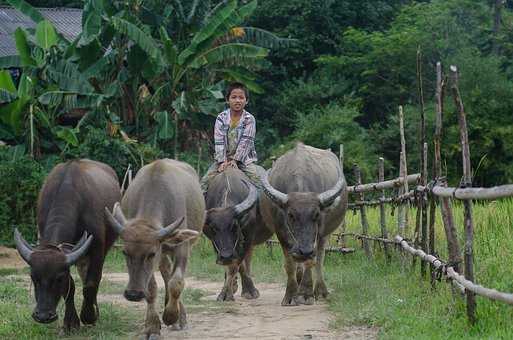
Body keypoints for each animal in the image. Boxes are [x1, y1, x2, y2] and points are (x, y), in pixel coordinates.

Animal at [14, 159, 120, 332]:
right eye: (33, 277)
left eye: (58, 278)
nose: (43, 316)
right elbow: (71, 286)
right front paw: (71, 323)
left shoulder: (97, 249)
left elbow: (91, 284)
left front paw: (88, 317)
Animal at [105, 159, 203, 340]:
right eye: (125, 253)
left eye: (151, 253)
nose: (133, 294)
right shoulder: (159, 254)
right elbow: (151, 288)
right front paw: (152, 326)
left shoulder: (181, 248)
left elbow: (176, 282)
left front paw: (171, 316)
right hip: (164, 253)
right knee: (166, 272)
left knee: (171, 277)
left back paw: (179, 318)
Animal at [204, 167, 274, 300]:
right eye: (213, 229)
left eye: (234, 226)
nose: (226, 256)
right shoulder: (216, 245)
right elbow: (234, 265)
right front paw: (227, 291)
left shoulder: (248, 236)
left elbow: (236, 264)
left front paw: (229, 293)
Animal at [258, 143, 346, 306]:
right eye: (291, 215)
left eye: (316, 215)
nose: (304, 251)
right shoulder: (281, 233)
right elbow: (289, 265)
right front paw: (291, 295)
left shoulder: (317, 235)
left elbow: (311, 261)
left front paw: (306, 294)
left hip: (324, 235)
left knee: (320, 258)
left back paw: (320, 291)